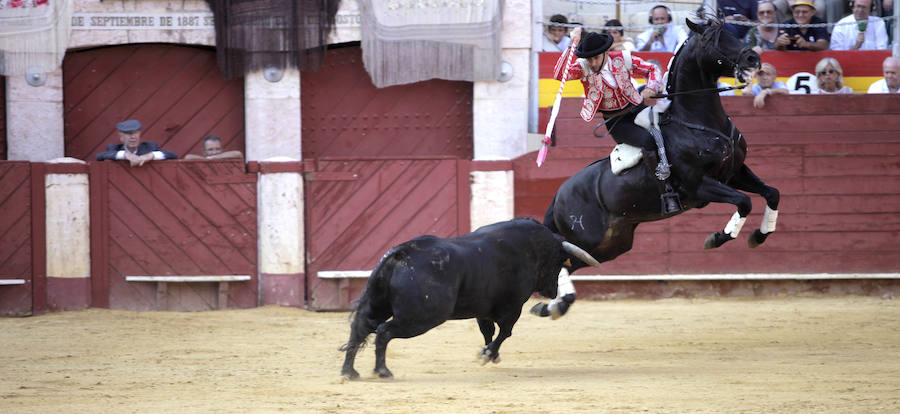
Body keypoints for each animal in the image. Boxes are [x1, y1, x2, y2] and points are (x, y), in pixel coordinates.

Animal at [338, 218, 596, 380]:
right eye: (559, 261)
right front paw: (488, 355)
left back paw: (349, 372)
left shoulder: (484, 309)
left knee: (359, 328)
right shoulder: (512, 308)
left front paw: (490, 353)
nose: (552, 292)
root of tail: (401, 252)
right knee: (383, 332)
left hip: (379, 305)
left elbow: (488, 331)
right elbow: (504, 332)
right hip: (420, 318)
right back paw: (382, 371)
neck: (530, 249)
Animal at [536, 17, 780, 316]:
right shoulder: (699, 186)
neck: (698, 122)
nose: (753, 57)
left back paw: (553, 306)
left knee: (567, 265)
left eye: (732, 33)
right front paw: (717, 238)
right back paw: (556, 304)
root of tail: (559, 195)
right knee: (561, 262)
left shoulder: (735, 172)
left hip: (610, 245)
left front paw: (760, 235)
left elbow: (771, 193)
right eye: (712, 41)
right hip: (589, 239)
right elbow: (744, 201)